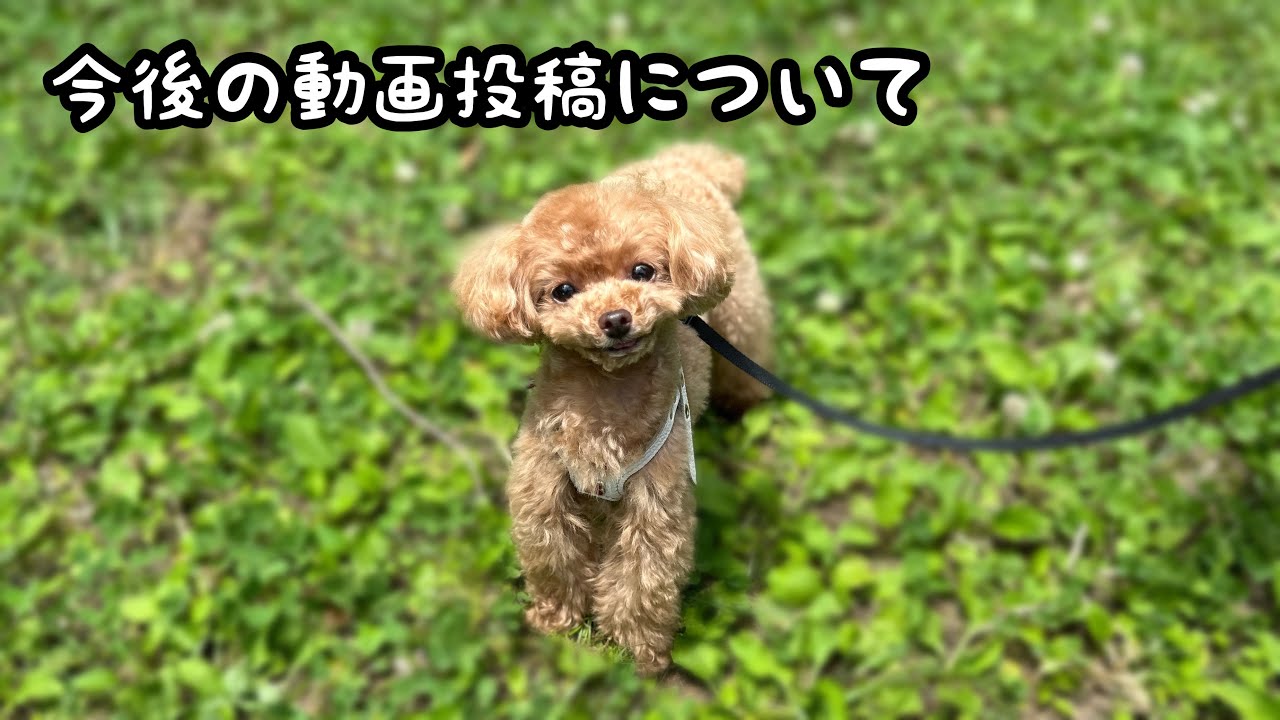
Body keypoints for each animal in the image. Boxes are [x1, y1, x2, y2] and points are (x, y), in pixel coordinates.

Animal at [451, 143, 773, 674]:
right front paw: (555, 619)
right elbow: (553, 557)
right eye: (563, 291)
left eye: (642, 271)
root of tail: (685, 162)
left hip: (740, 309)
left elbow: (642, 580)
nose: (616, 319)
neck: (605, 394)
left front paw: (635, 654)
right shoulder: (544, 492)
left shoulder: (655, 504)